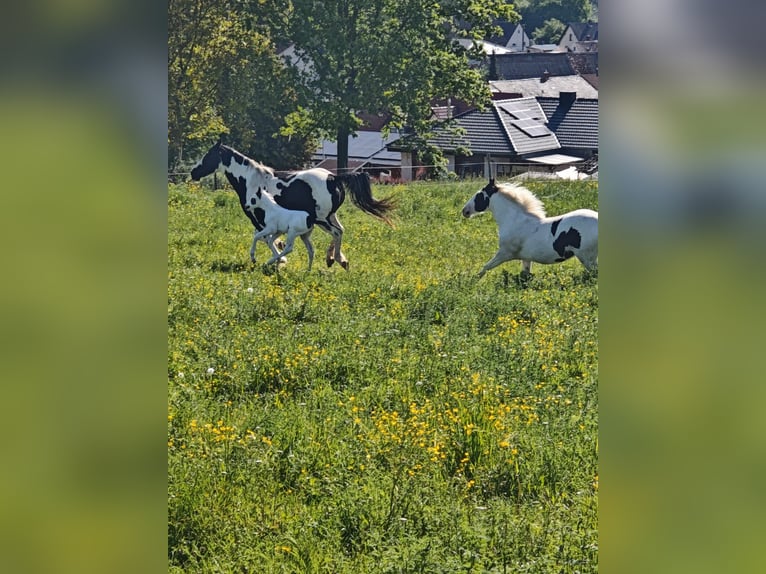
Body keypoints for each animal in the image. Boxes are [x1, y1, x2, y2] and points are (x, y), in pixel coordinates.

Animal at [190, 139, 395, 269]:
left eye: (208, 156)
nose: (193, 172)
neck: (250, 181)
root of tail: (333, 177)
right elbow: (267, 238)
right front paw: (279, 256)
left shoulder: (256, 217)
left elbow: (265, 238)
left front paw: (279, 260)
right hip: (330, 216)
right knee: (341, 231)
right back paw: (337, 260)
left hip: (322, 219)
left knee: (336, 232)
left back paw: (335, 259)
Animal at [461, 179, 598, 278]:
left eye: (478, 196)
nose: (465, 211)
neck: (515, 221)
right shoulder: (526, 258)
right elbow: (525, 275)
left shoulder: (505, 253)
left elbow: (486, 267)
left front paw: (473, 280)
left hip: (586, 257)